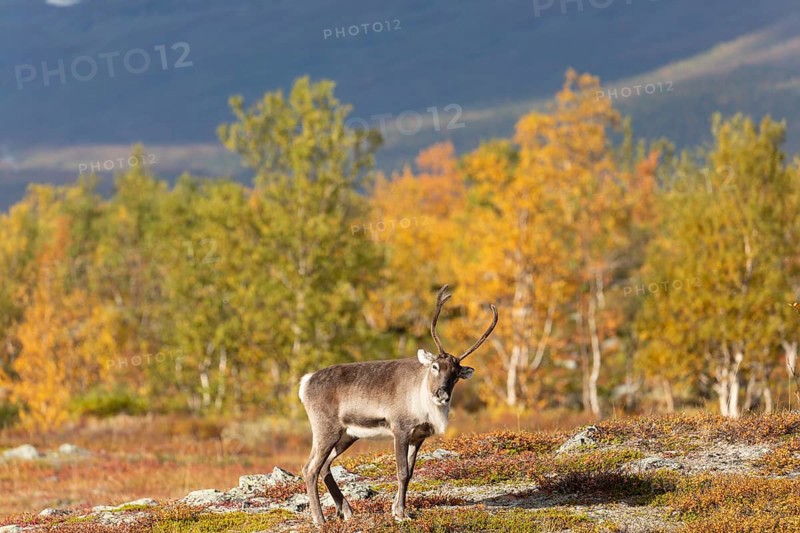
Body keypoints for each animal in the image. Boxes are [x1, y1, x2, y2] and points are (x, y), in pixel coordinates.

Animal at [298, 285, 498, 525]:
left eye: (456, 375)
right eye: (435, 367)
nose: (441, 394)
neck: (421, 398)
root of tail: (306, 381)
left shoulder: (418, 437)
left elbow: (410, 473)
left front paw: (396, 509)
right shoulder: (400, 429)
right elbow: (401, 472)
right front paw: (401, 513)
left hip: (347, 435)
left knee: (325, 466)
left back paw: (346, 511)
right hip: (326, 429)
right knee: (310, 469)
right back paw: (320, 520)